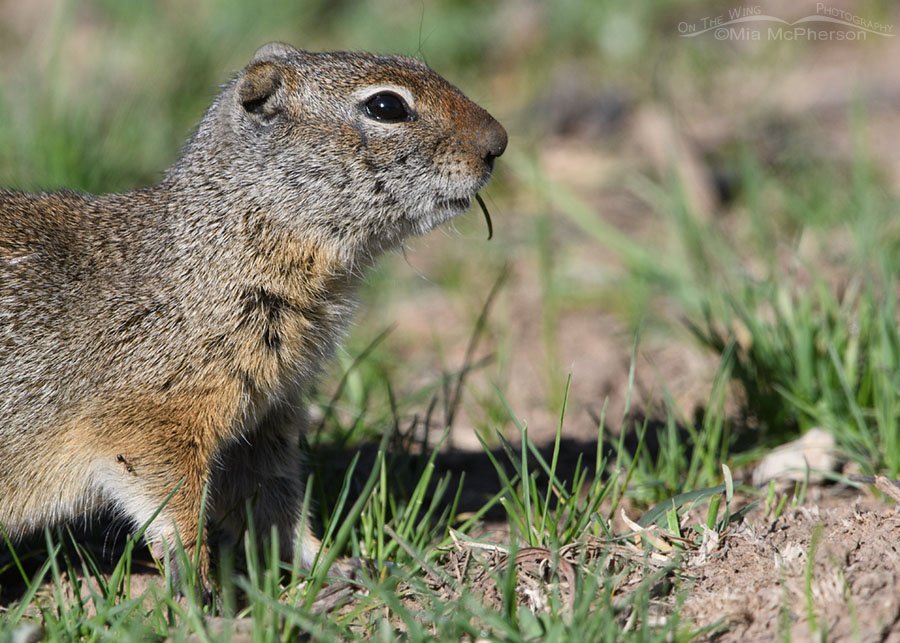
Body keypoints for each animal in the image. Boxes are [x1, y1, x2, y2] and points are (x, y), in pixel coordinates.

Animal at [0, 42, 506, 590]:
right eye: (386, 106)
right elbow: (172, 502)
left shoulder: (263, 421)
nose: (498, 142)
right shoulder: (151, 419)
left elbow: (274, 506)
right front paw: (199, 586)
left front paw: (335, 564)